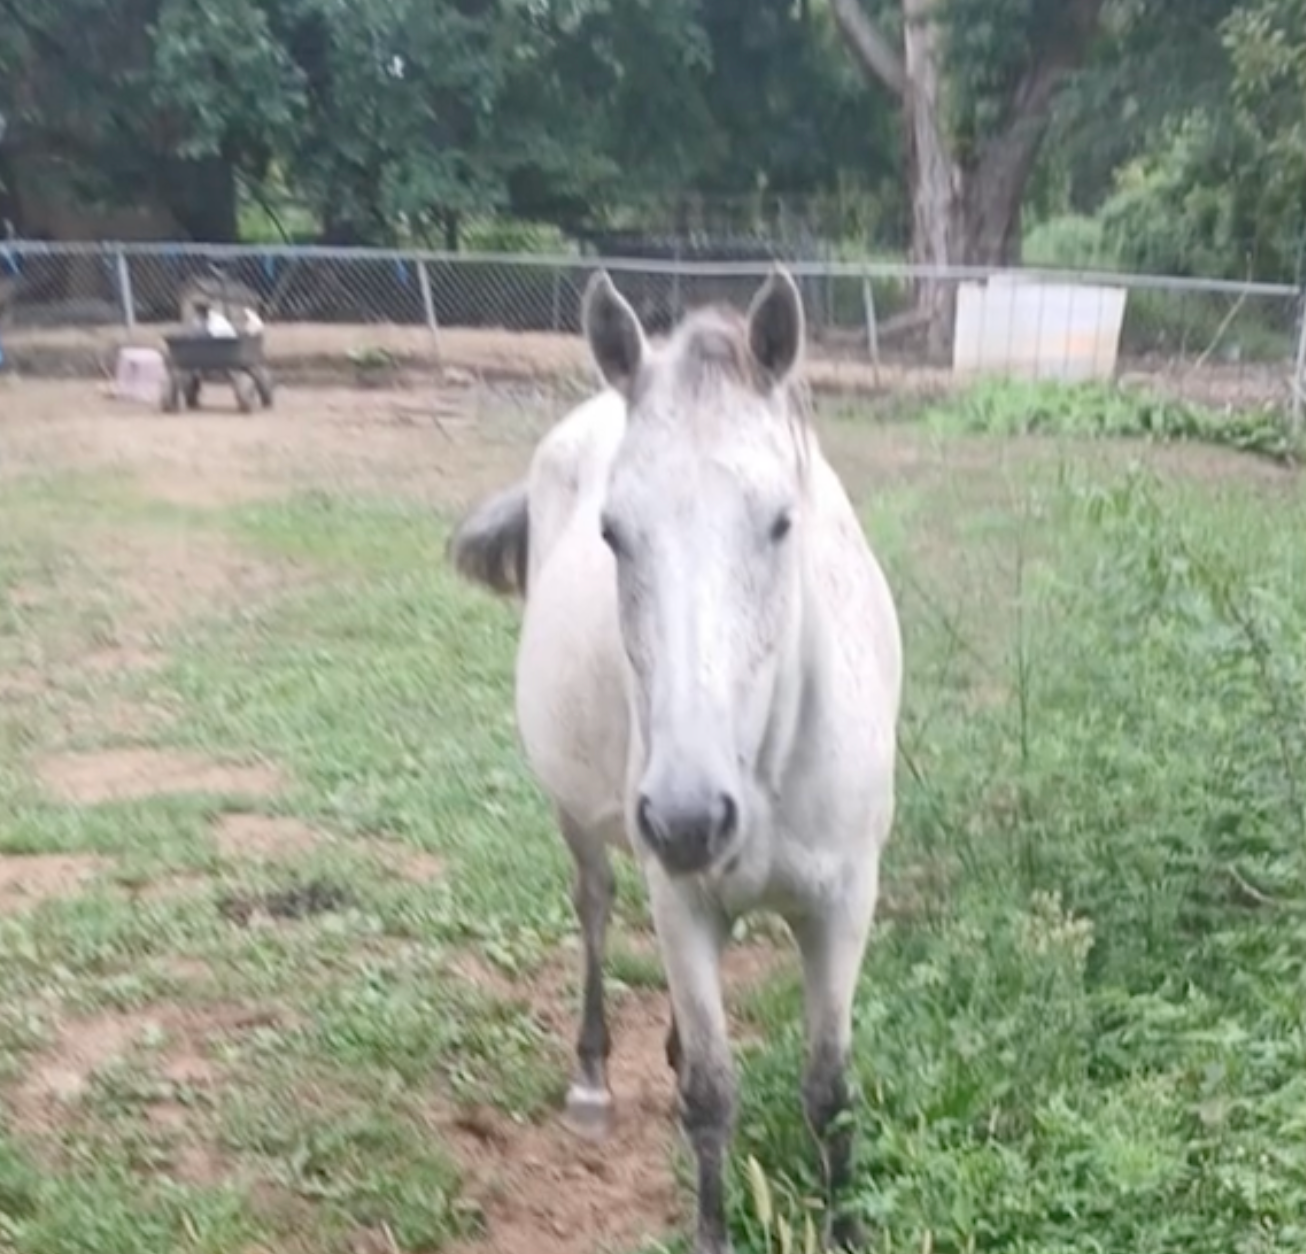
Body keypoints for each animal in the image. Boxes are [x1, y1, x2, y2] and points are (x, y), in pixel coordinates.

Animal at [448, 266, 903, 1253]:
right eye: (614, 532)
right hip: (582, 817)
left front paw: (847, 1227)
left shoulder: (845, 903)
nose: (691, 818)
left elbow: (831, 1092)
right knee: (593, 903)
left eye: (780, 522)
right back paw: (592, 1076)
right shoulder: (682, 897)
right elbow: (709, 1095)